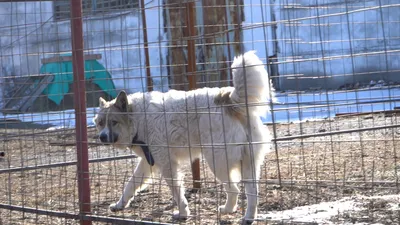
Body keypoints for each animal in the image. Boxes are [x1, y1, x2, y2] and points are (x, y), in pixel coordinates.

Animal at [94, 50, 276, 223]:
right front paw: (119, 205)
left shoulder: (167, 164)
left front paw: (182, 213)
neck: (137, 118)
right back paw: (247, 217)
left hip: (217, 162)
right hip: (247, 163)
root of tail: (228, 100)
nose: (102, 137)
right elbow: (131, 185)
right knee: (252, 193)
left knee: (234, 189)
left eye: (114, 122)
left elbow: (176, 191)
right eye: (101, 123)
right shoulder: (148, 161)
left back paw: (230, 210)